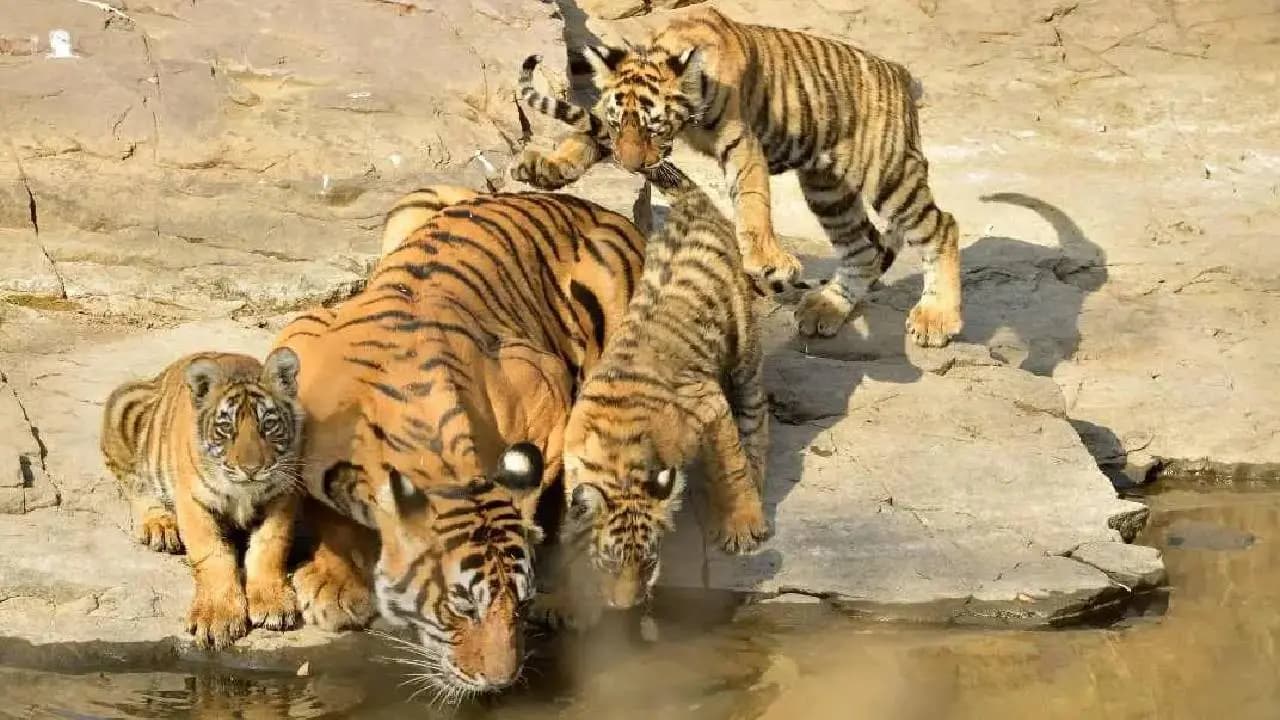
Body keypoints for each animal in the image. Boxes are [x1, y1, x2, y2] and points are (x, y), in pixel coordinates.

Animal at [99, 348, 304, 649]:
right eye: (226, 428)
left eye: (268, 425)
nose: (251, 469)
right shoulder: (193, 501)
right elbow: (212, 553)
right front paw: (217, 616)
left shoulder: (284, 492)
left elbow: (270, 546)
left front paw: (272, 602)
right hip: (123, 405)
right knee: (134, 485)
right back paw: (161, 526)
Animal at [272, 184, 647, 695]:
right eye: (460, 608)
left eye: (520, 604)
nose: (502, 680)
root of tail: (595, 207)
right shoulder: (300, 336)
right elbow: (323, 505)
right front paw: (336, 584)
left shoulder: (544, 385)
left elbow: (563, 489)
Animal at [511, 5, 963, 347]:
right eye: (617, 124)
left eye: (654, 128)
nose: (630, 164)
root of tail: (898, 73)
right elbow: (580, 136)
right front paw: (545, 166)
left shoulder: (742, 143)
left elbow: (752, 202)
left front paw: (767, 259)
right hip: (827, 188)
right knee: (863, 248)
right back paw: (827, 308)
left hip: (887, 173)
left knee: (942, 226)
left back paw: (936, 318)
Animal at [554, 160, 769, 628]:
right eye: (609, 563)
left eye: (649, 563)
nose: (627, 608)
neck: (618, 465)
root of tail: (694, 205)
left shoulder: (707, 404)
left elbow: (731, 467)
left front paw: (741, 523)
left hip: (743, 350)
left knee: (755, 414)